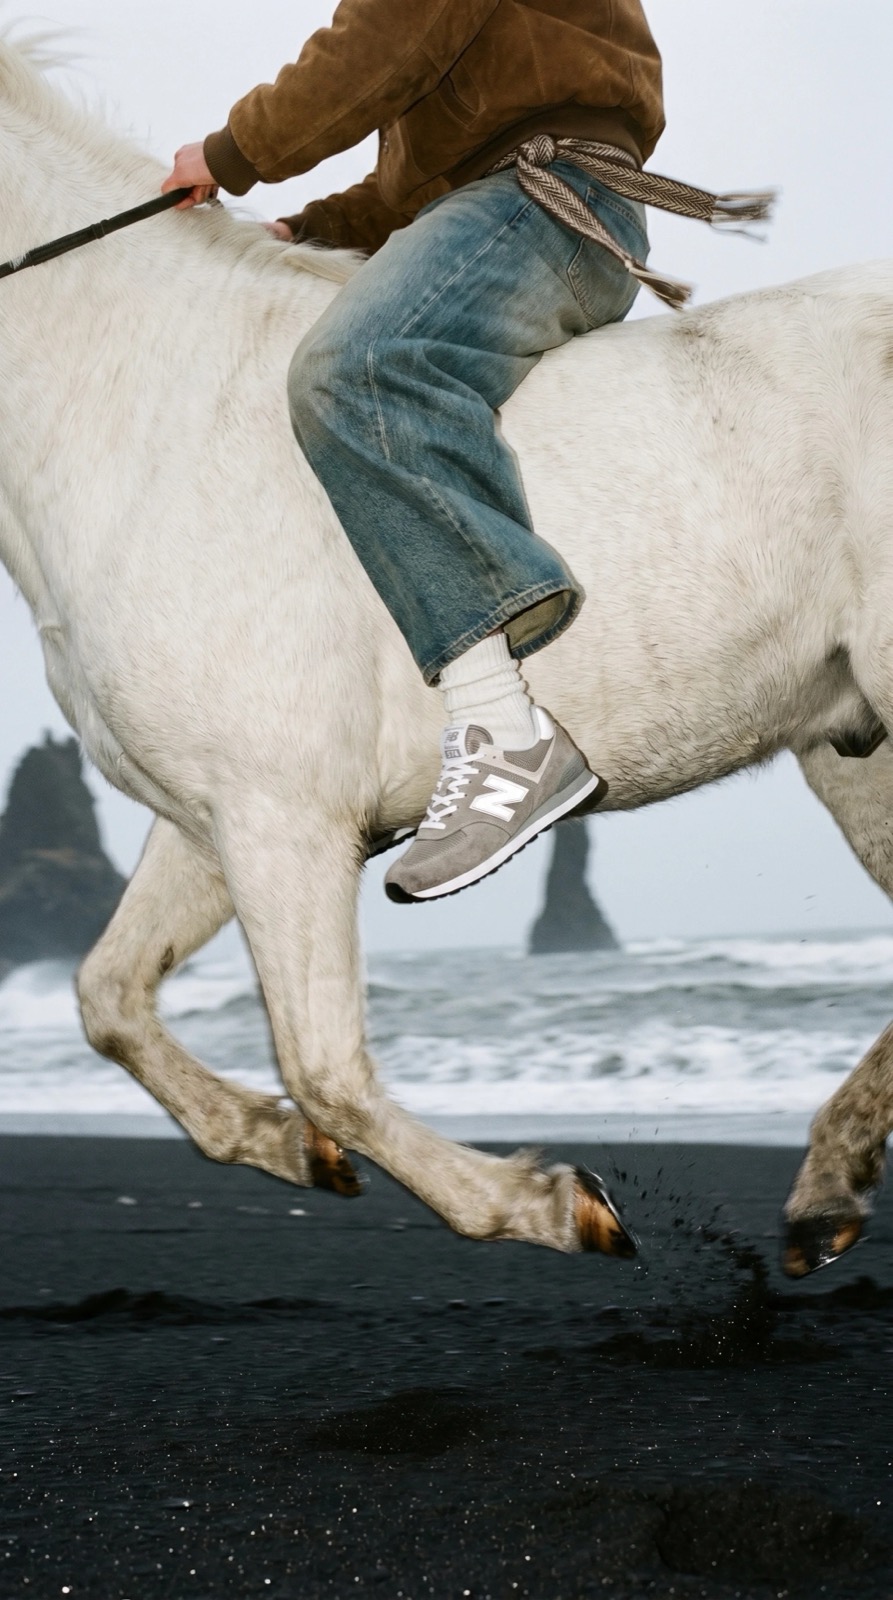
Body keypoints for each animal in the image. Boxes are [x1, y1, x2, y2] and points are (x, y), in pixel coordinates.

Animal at [1, 32, 890, 1276]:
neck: (138, 410)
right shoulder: (215, 819)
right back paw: (823, 1187)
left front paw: (546, 1203)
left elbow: (323, 1065)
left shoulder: (281, 821)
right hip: (854, 750)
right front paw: (286, 1149)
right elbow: (109, 999)